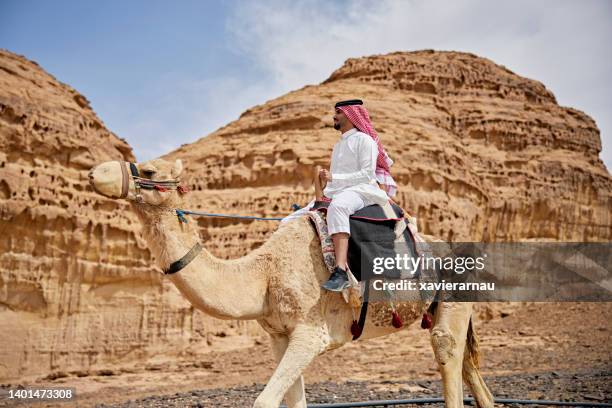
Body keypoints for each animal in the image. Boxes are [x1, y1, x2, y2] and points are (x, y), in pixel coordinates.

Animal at [89, 159, 492, 408]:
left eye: (149, 168)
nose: (95, 172)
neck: (263, 275)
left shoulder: (310, 333)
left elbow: (265, 400)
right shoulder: (280, 336)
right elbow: (295, 401)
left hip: (453, 296)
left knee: (446, 349)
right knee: (467, 363)